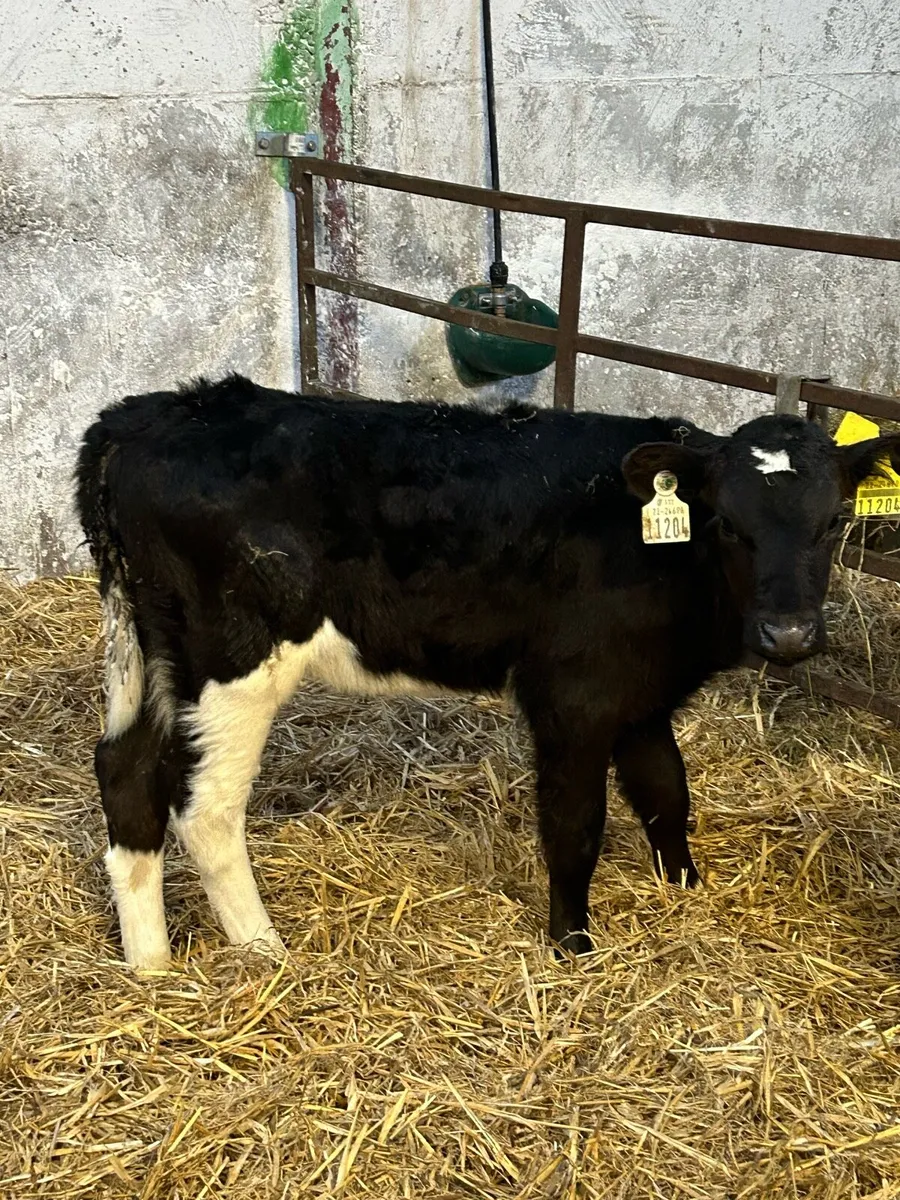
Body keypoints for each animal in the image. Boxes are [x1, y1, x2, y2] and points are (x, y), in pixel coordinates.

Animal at [75, 375, 898, 969]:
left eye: (835, 521)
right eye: (727, 522)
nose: (789, 634)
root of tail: (143, 417)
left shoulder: (638, 692)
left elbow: (667, 793)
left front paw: (686, 890)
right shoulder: (572, 695)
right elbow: (575, 822)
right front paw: (572, 945)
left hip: (153, 655)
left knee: (126, 770)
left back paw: (151, 966)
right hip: (233, 662)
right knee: (205, 807)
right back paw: (264, 951)